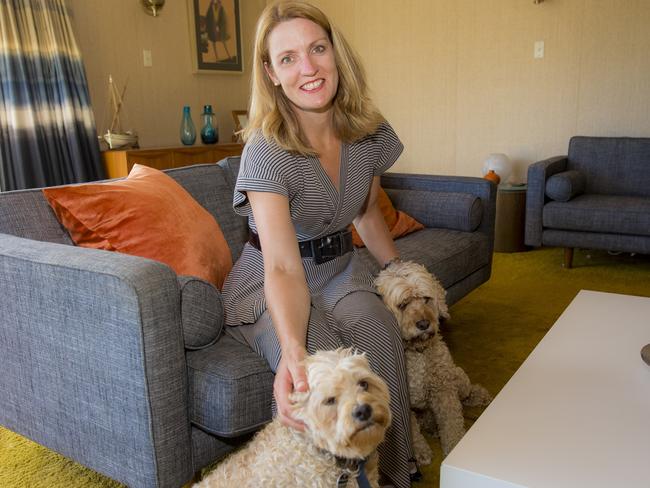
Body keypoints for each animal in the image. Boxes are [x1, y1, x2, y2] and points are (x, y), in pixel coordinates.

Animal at [374, 262, 492, 460]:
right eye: (403, 304)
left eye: (426, 298)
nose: (423, 324)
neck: (418, 353)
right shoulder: (402, 401)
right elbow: (412, 431)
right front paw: (420, 451)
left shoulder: (443, 389)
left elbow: (451, 421)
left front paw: (454, 444)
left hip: (457, 375)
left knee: (466, 393)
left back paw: (479, 397)